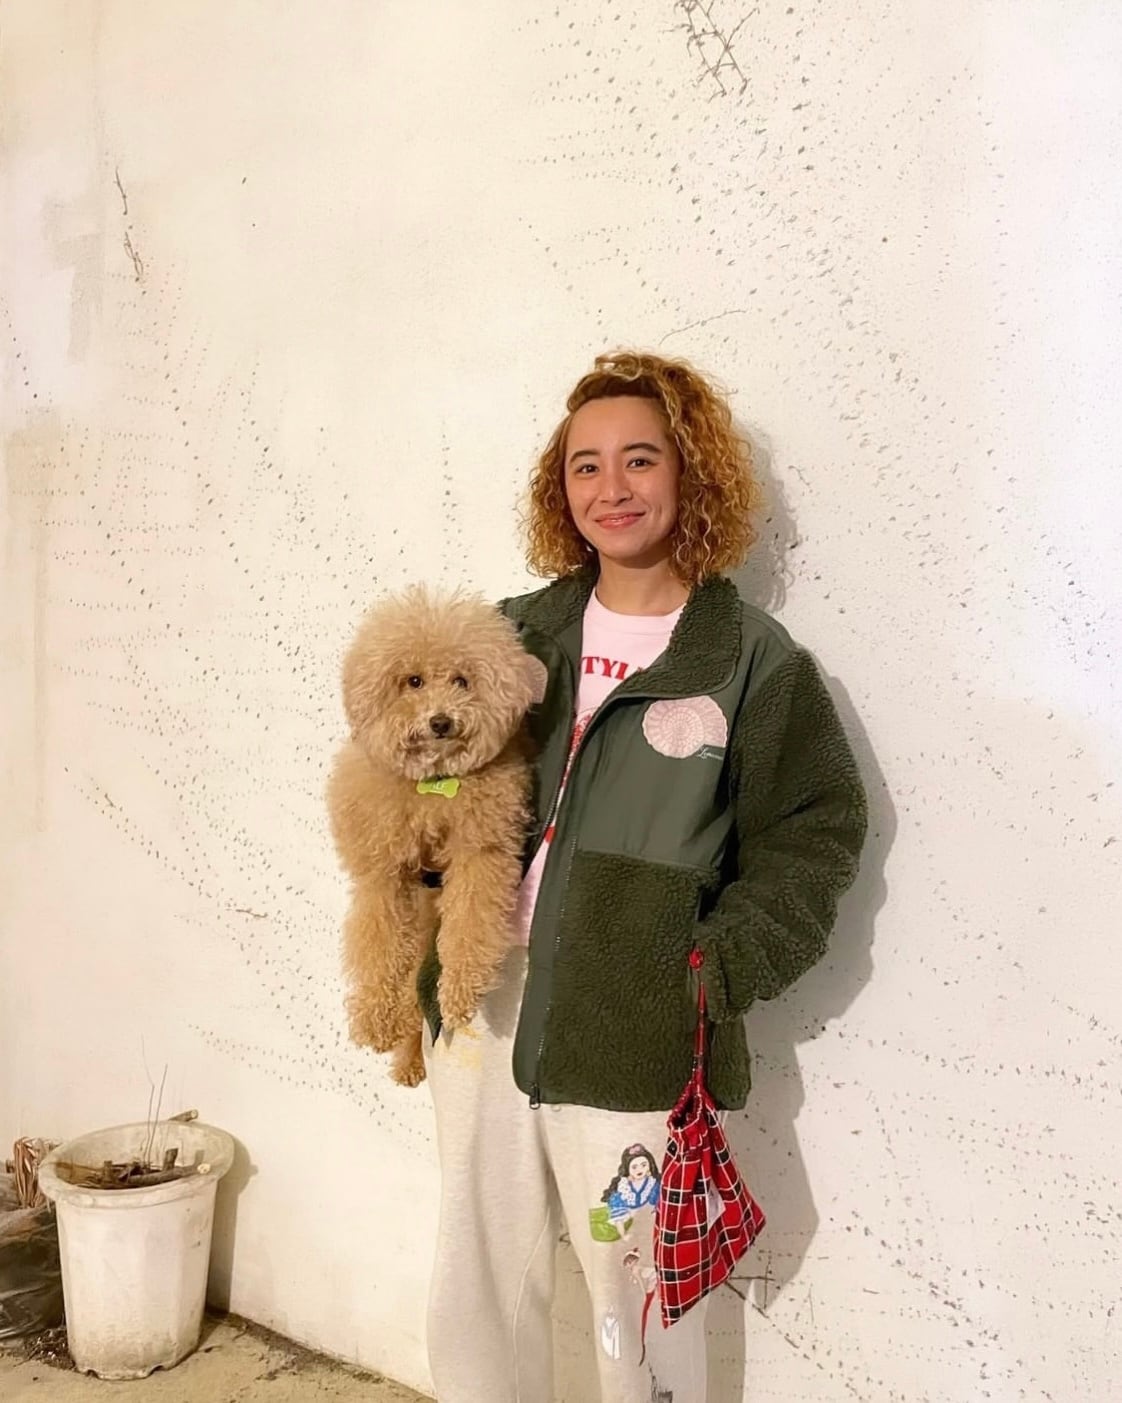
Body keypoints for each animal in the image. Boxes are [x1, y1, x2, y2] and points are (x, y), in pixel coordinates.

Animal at [327, 586, 540, 1086]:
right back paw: (406, 1057)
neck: (434, 786)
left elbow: (471, 924)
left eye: (462, 680)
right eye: (414, 681)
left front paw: (460, 993)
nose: (441, 722)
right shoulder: (385, 874)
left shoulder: (481, 853)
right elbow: (379, 944)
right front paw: (375, 1022)